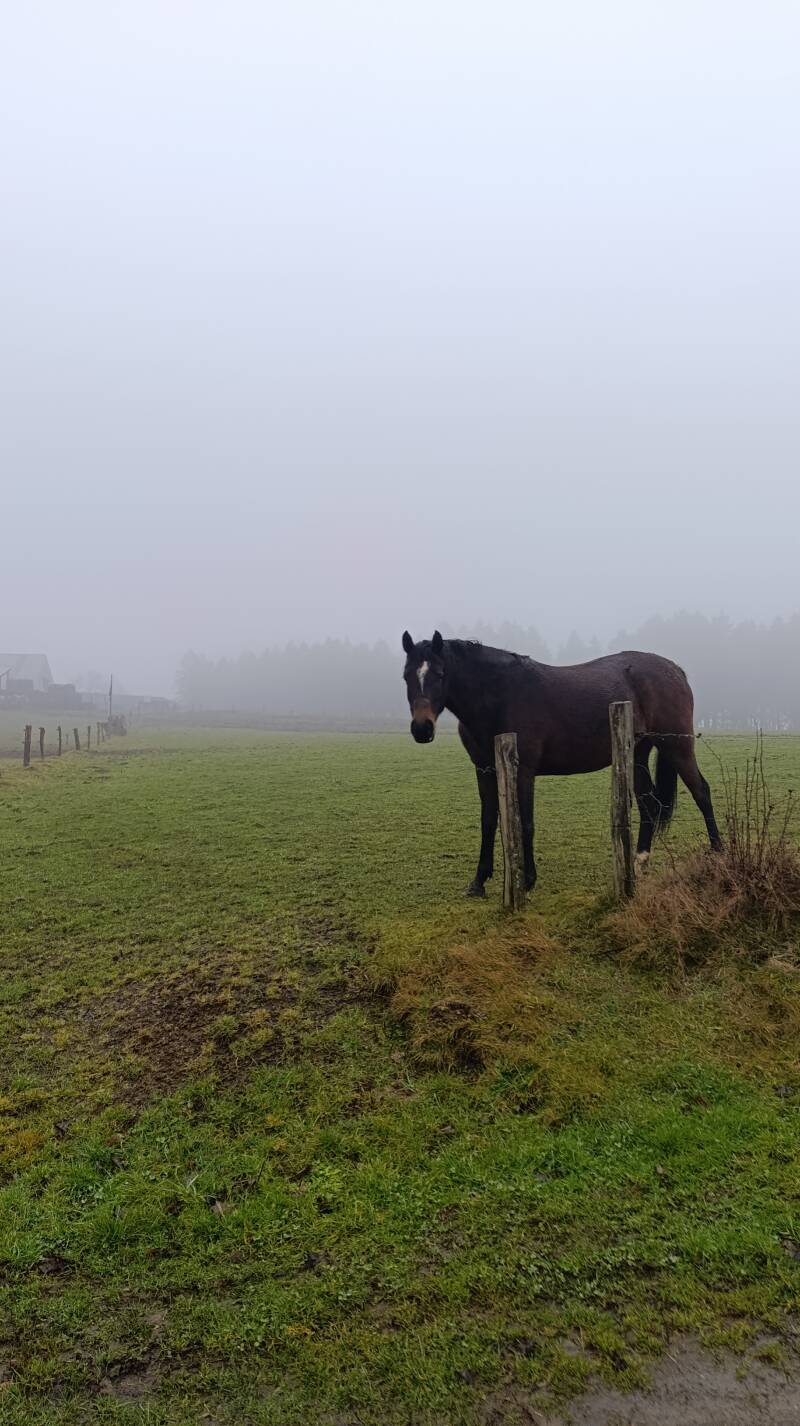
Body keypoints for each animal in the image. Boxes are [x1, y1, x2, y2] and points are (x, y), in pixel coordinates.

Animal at [401, 630, 722, 896]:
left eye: (440, 674)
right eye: (406, 675)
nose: (422, 729)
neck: (499, 695)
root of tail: (675, 670)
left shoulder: (523, 771)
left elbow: (526, 823)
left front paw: (528, 880)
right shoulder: (484, 770)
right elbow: (489, 822)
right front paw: (479, 881)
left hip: (677, 746)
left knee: (702, 792)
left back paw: (718, 854)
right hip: (637, 753)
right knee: (649, 804)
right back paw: (640, 863)